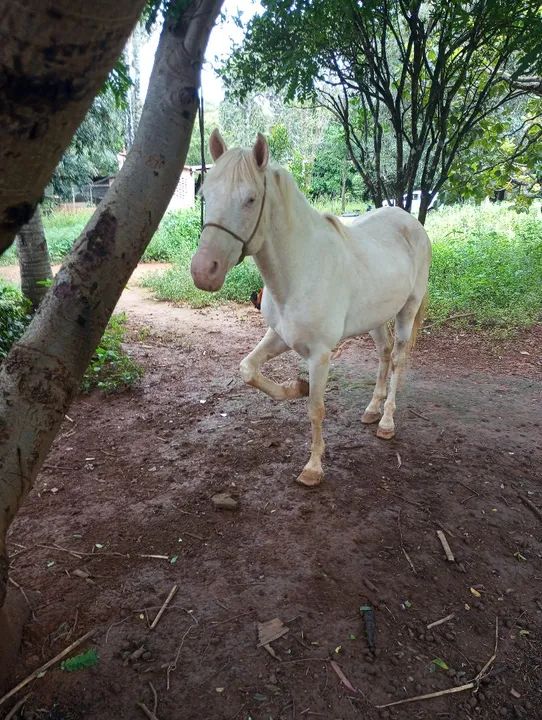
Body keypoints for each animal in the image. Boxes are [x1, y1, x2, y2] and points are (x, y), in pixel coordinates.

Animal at [191, 130, 431, 487]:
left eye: (250, 199)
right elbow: (248, 370)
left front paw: (314, 468)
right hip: (376, 317)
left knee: (399, 358)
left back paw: (386, 422)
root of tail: (410, 221)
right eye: (205, 194)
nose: (203, 271)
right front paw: (297, 387)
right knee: (385, 353)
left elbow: (316, 409)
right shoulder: (278, 336)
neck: (300, 268)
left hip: (407, 311)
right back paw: (372, 410)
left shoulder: (319, 355)